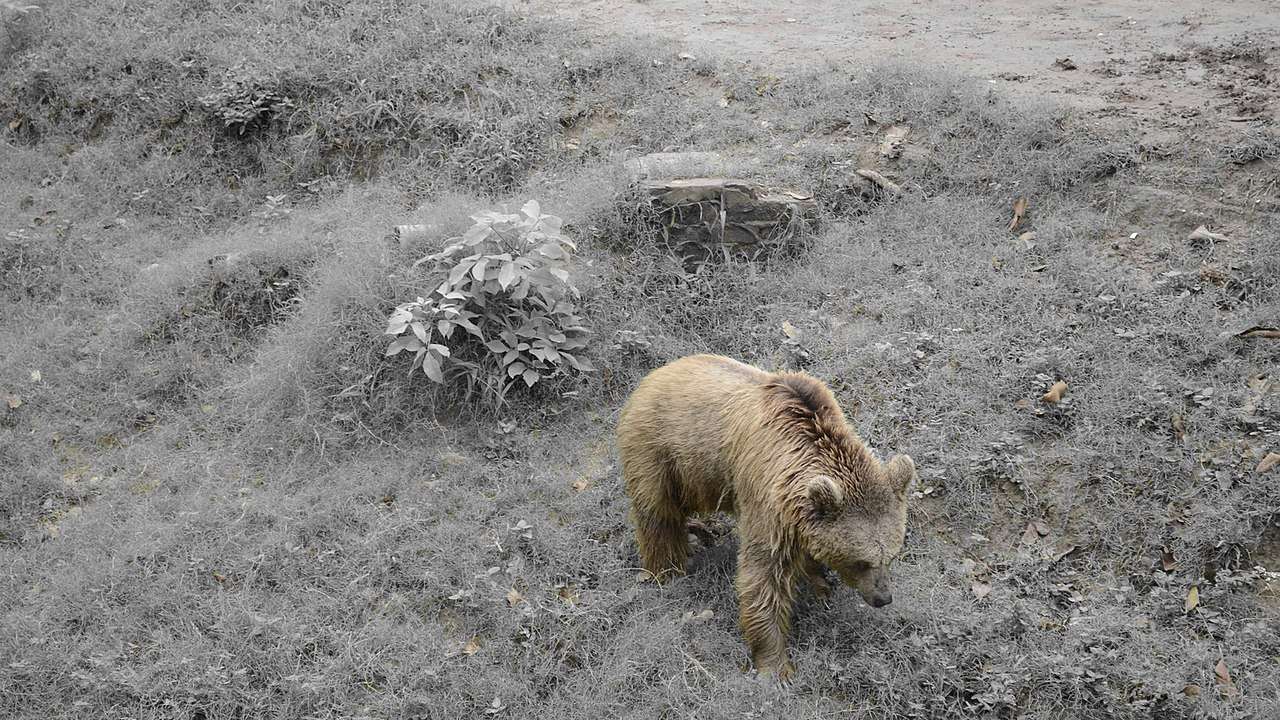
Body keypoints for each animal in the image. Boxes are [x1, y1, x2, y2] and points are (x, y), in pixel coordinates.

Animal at [617, 354, 916, 679]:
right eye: (861, 561)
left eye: (892, 555)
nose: (882, 598)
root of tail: (652, 376)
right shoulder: (768, 500)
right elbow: (764, 577)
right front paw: (776, 666)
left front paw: (820, 582)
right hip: (661, 451)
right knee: (657, 515)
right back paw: (666, 570)